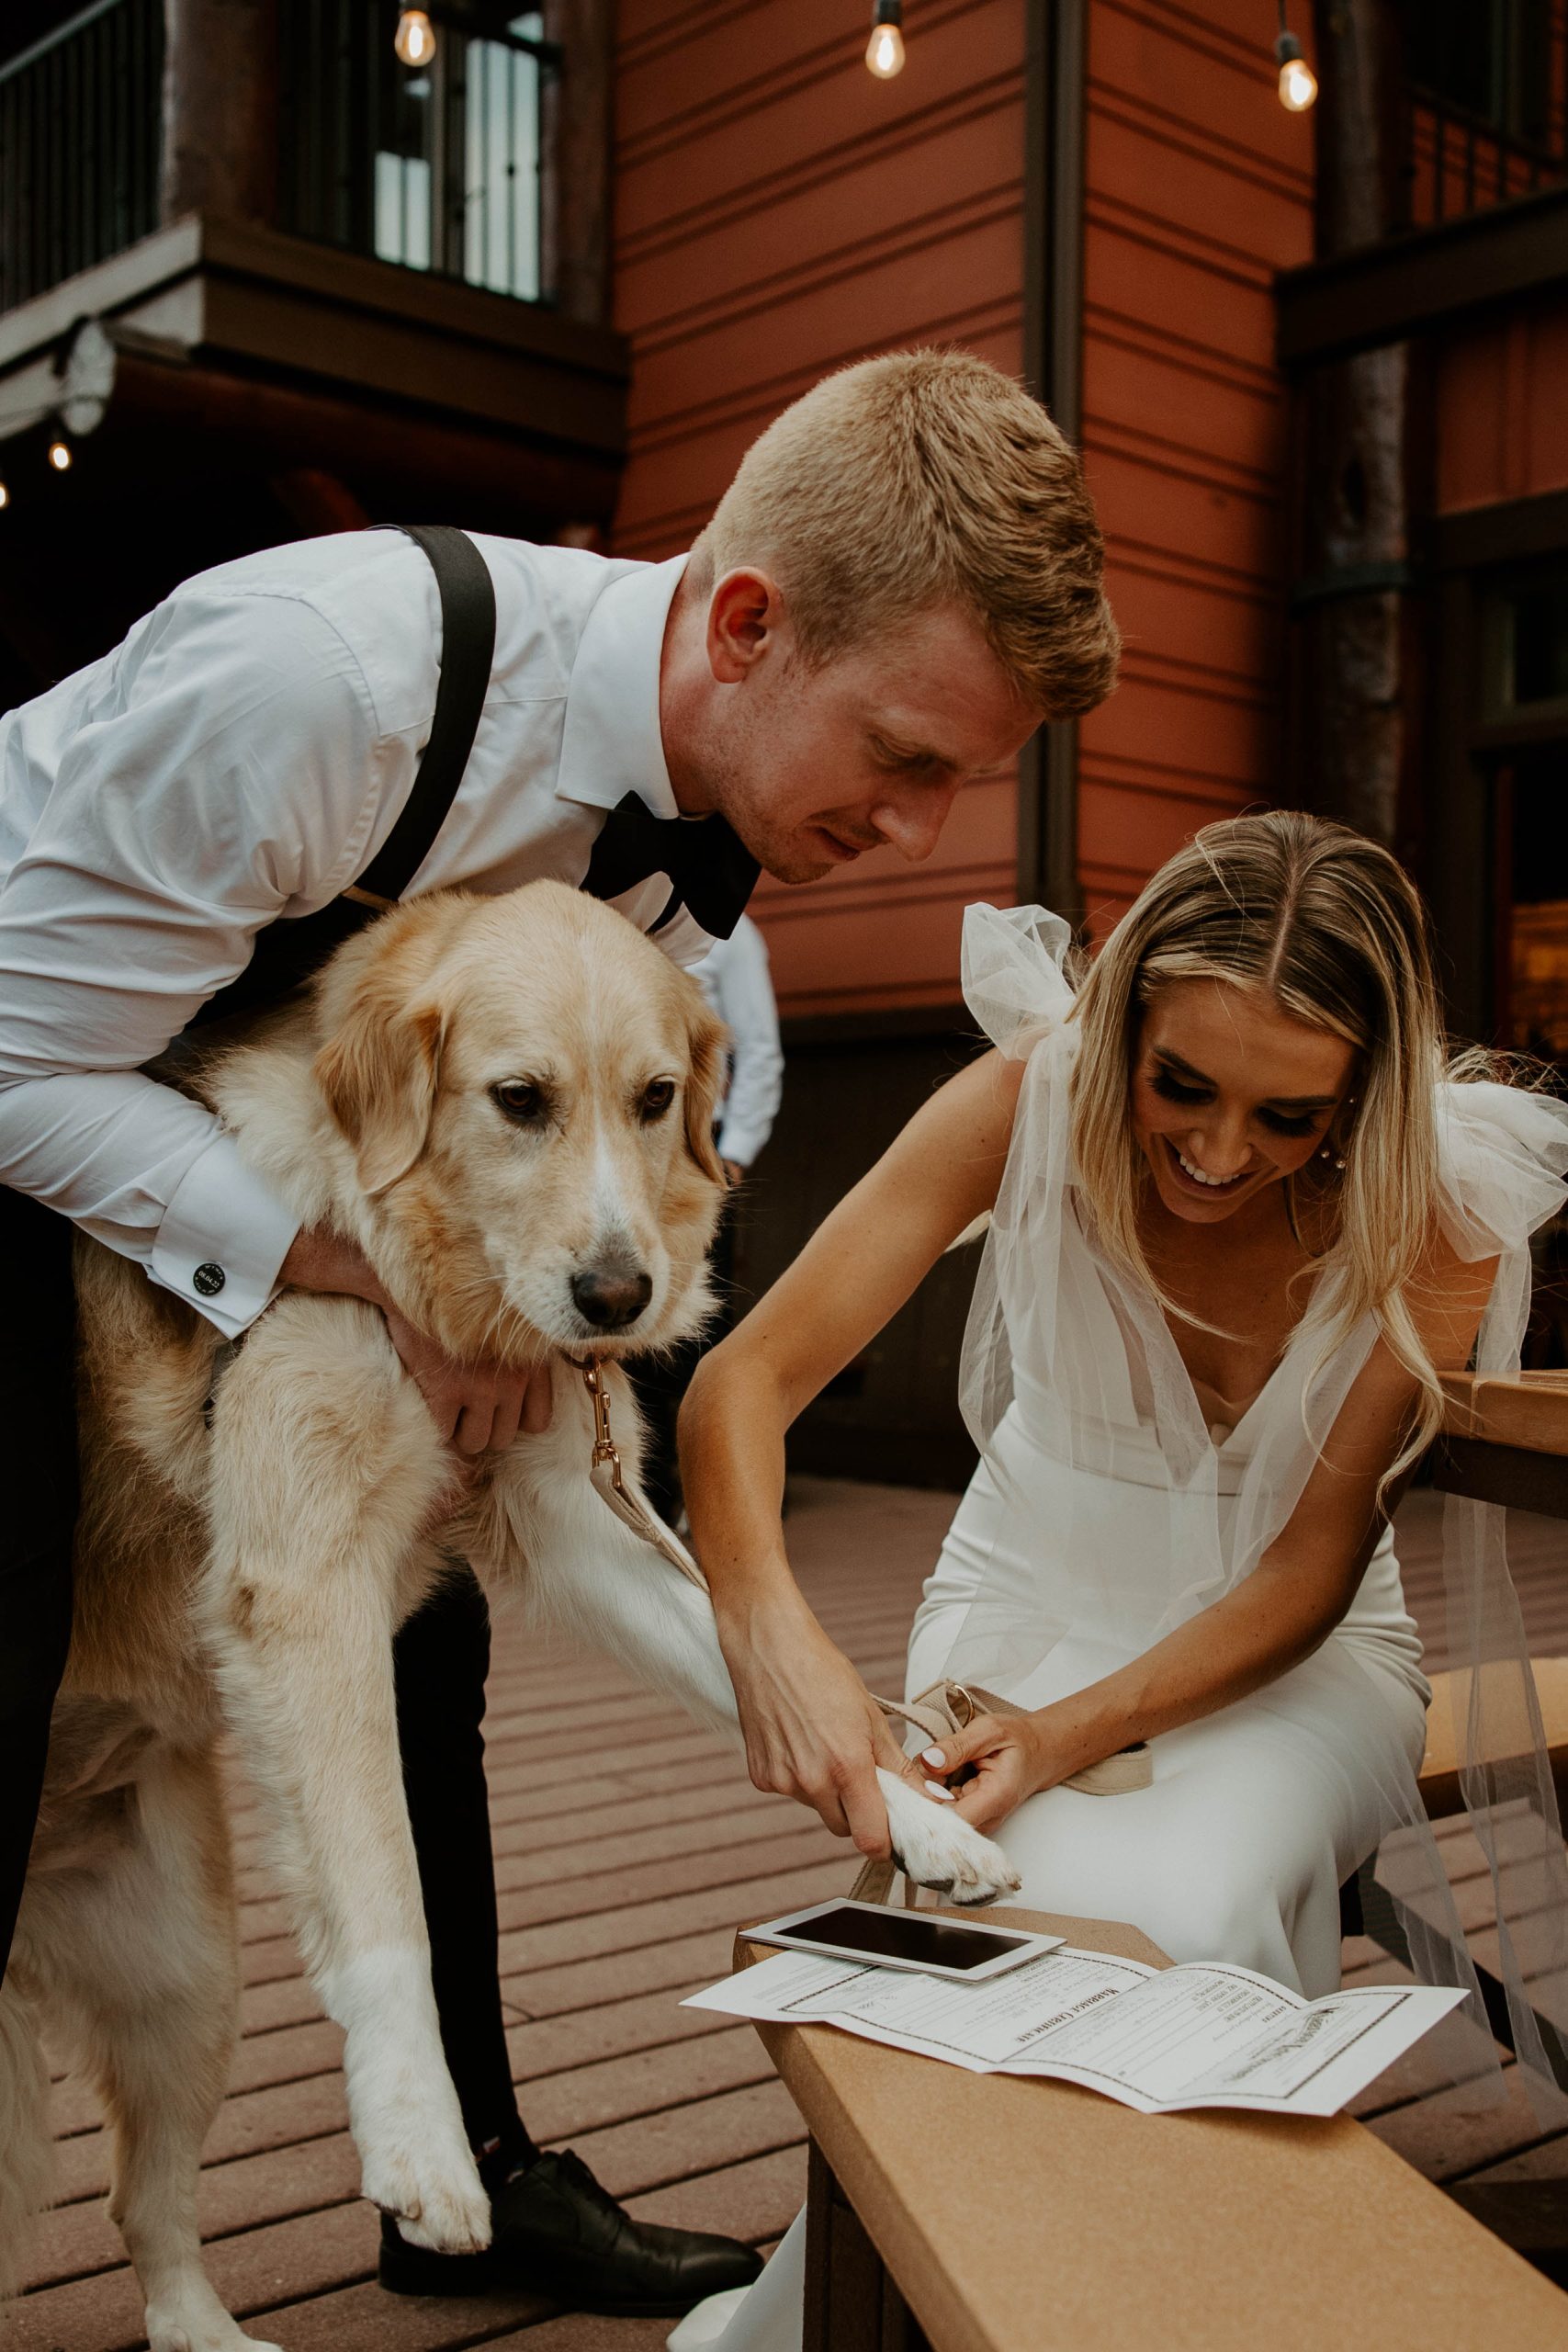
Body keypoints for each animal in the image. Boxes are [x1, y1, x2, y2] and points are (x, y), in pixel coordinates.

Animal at [3, 884, 1020, 2352]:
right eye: (518, 1100)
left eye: (656, 1097)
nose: (617, 1300)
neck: (421, 1266)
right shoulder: (309, 1587)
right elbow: (386, 1893)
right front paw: (419, 2143)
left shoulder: (570, 1525)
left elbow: (741, 1659)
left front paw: (918, 1818)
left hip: (186, 1988)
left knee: (150, 2212)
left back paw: (207, 2332)